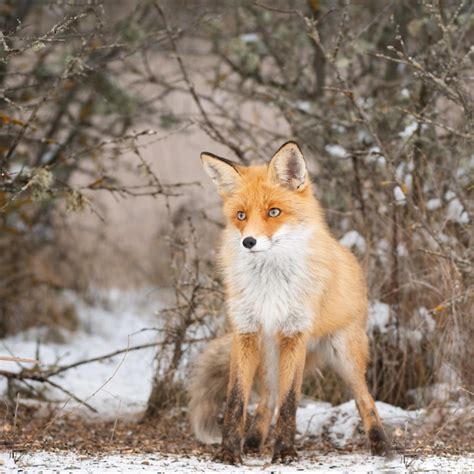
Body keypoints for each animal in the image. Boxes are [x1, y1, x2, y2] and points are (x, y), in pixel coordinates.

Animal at [189, 140, 388, 462]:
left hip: (344, 356)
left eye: (273, 212)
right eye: (241, 216)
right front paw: (230, 452)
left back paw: (381, 444)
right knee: (267, 401)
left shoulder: (296, 335)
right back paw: (253, 442)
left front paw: (284, 452)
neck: (270, 284)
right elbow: (236, 400)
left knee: (364, 398)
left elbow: (290, 402)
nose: (248, 242)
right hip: (268, 356)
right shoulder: (245, 332)